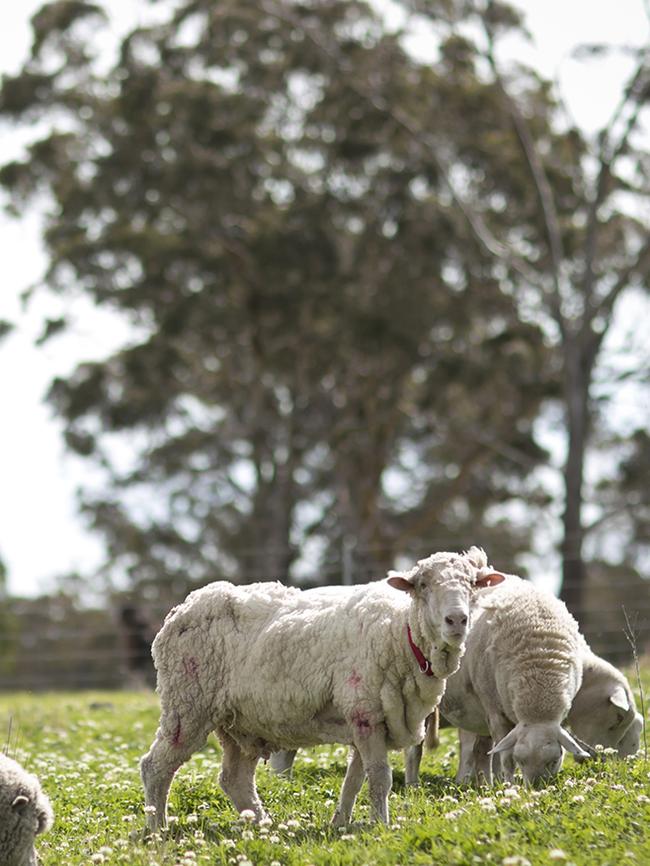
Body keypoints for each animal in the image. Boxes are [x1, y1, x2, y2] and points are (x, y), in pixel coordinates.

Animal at [139, 544, 498, 828]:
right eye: (423, 585)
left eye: (472, 584)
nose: (457, 620)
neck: (400, 635)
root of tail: (182, 608)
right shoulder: (366, 711)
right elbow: (380, 778)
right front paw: (381, 825)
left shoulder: (368, 718)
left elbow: (355, 780)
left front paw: (341, 822)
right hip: (188, 704)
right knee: (155, 767)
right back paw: (158, 828)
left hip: (239, 721)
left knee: (234, 779)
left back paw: (263, 824)